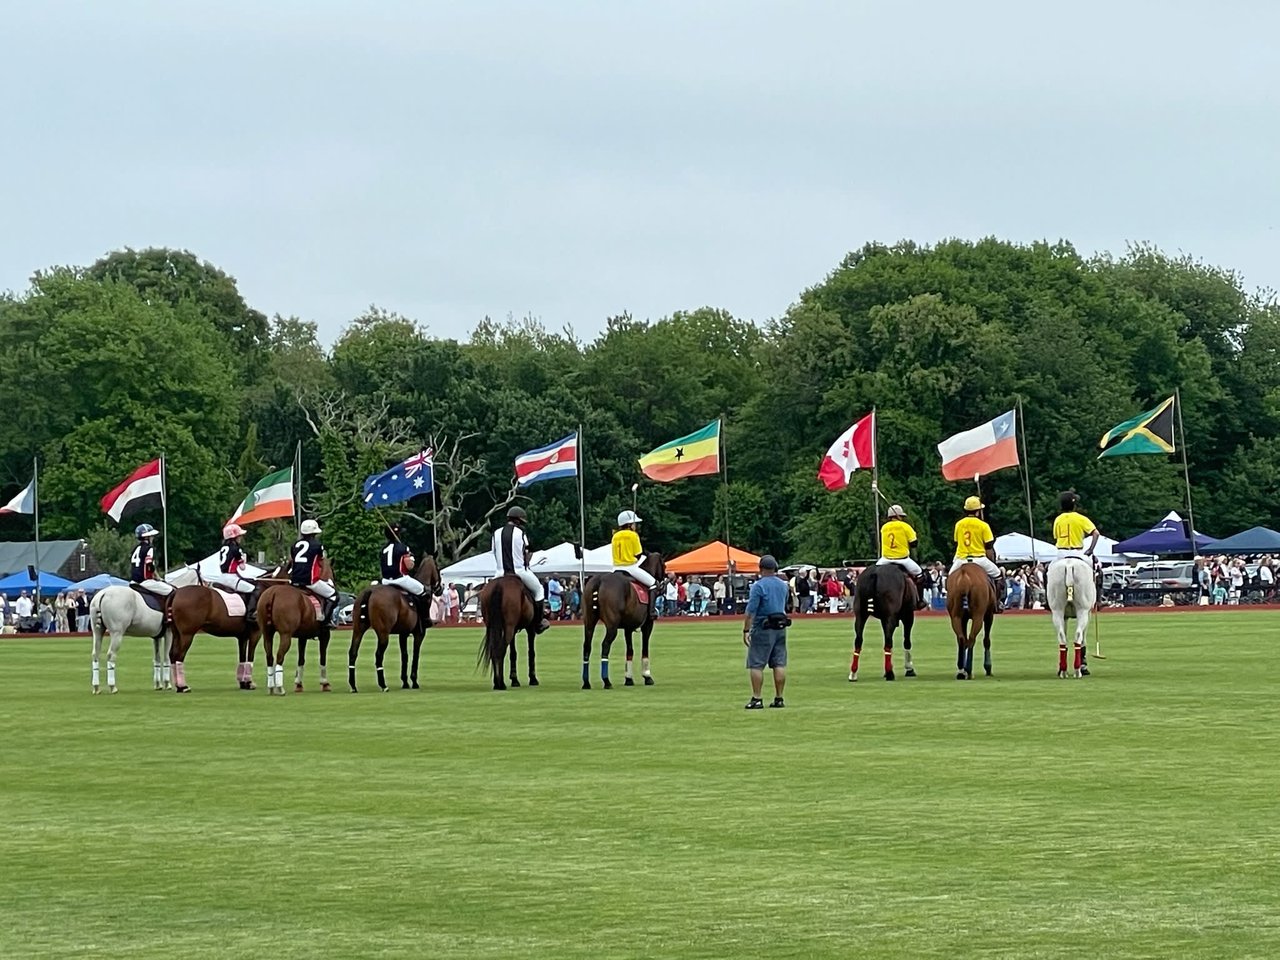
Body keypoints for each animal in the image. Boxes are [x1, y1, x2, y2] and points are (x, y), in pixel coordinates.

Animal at [250, 555, 335, 701]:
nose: (252, 614)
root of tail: (273, 593)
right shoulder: (325, 634)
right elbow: (322, 657)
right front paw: (325, 683)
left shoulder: (303, 636)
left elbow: (301, 659)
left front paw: (298, 684)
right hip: (285, 634)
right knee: (279, 656)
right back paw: (280, 688)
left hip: (267, 633)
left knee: (269, 656)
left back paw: (271, 687)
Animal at [348, 552, 442, 696]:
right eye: (438, 568)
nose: (440, 589)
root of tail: (370, 591)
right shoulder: (419, 634)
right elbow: (415, 655)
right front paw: (414, 682)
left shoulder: (403, 634)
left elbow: (405, 656)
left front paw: (405, 682)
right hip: (383, 633)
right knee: (378, 655)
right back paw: (383, 685)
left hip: (358, 629)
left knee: (353, 652)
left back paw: (353, 686)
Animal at [578, 547, 660, 691]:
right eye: (664, 565)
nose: (663, 581)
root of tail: (599, 580)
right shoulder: (648, 625)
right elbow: (644, 649)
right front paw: (647, 677)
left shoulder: (628, 628)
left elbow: (630, 650)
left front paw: (629, 679)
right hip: (612, 626)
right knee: (605, 645)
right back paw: (606, 681)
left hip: (589, 622)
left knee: (587, 646)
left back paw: (586, 682)